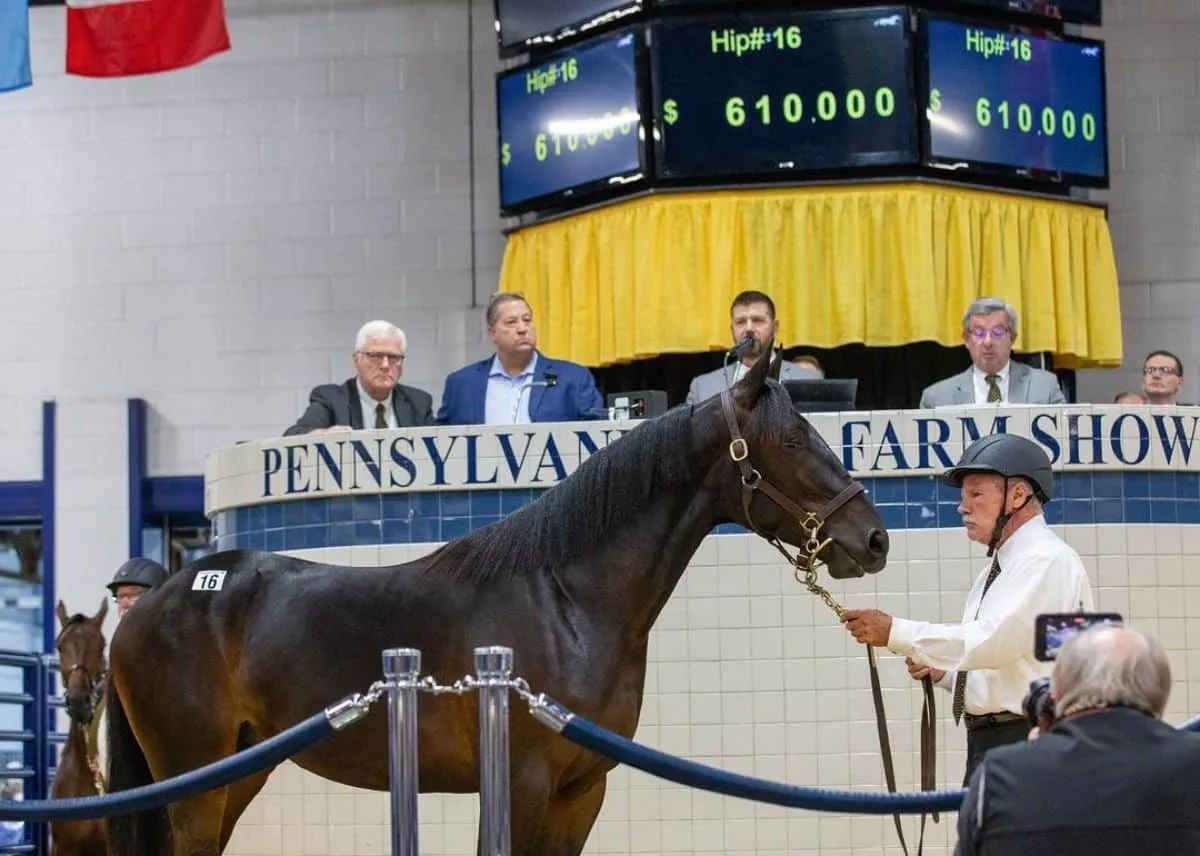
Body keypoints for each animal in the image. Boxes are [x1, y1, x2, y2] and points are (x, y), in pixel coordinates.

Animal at [105, 344, 891, 856]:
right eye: (794, 440)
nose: (874, 539)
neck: (566, 601)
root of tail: (150, 606)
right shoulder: (518, 783)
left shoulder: (581, 794)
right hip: (194, 785)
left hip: (240, 772)